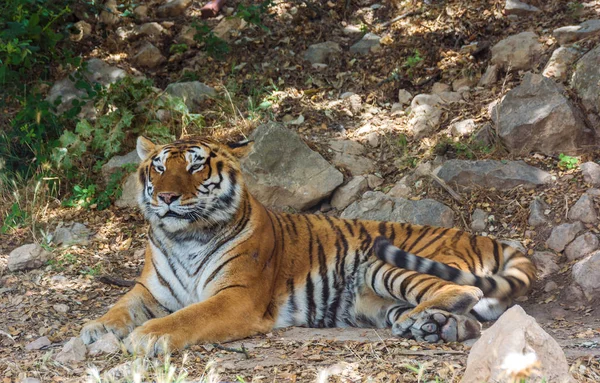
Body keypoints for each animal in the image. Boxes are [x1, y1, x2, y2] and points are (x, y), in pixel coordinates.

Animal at [78, 136, 536, 356]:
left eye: (195, 165)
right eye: (158, 167)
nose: (167, 197)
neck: (185, 237)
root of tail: (479, 235)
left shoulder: (236, 297)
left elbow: (188, 317)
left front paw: (147, 336)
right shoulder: (148, 290)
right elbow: (120, 306)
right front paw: (95, 328)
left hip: (380, 264)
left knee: (464, 289)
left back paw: (421, 319)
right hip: (372, 302)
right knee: (471, 320)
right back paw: (433, 327)